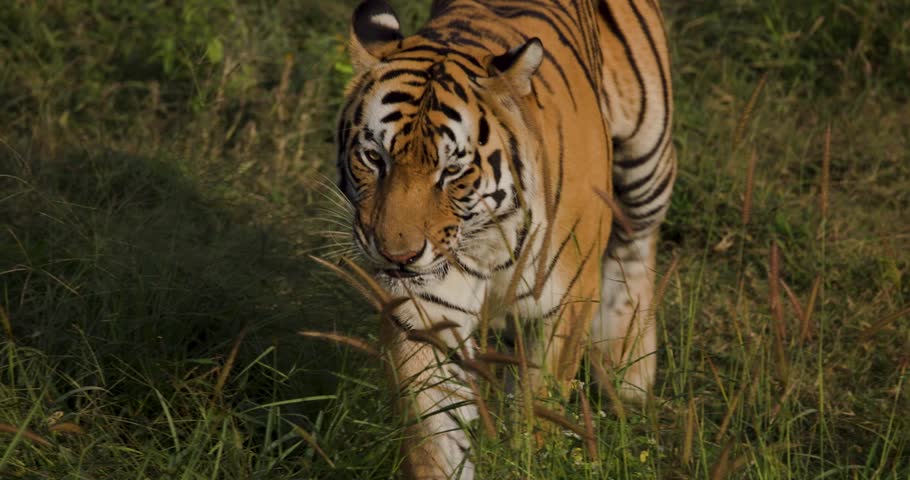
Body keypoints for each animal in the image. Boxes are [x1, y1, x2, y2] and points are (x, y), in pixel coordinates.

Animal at [334, 0, 675, 477]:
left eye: (451, 171)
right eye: (373, 158)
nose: (398, 255)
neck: (483, 239)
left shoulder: (565, 304)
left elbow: (539, 411)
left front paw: (528, 458)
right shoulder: (425, 310)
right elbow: (436, 430)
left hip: (648, 156)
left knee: (635, 241)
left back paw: (627, 371)